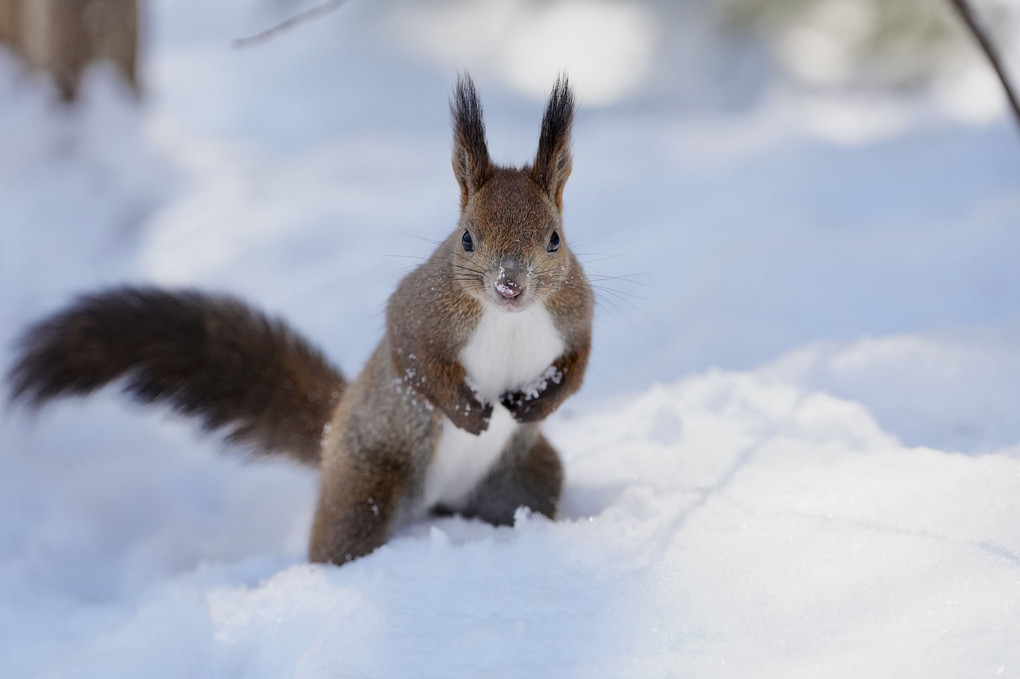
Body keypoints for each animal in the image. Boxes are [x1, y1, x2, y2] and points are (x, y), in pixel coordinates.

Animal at [3, 73, 595, 562]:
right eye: (467, 238)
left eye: (554, 240)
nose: (510, 286)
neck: (507, 318)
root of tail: (331, 435)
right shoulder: (421, 308)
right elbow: (414, 356)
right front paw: (471, 412)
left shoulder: (576, 314)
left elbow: (578, 366)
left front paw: (537, 402)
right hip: (364, 490)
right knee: (337, 540)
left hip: (525, 477)